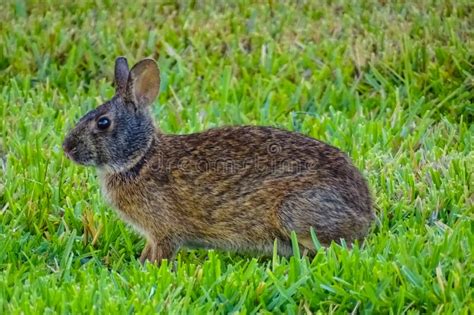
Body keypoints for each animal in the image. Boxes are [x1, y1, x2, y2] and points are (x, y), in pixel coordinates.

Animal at [63, 57, 374, 264]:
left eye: (103, 123)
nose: (67, 148)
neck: (140, 157)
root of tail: (365, 212)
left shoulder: (163, 231)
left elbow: (160, 253)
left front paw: (143, 269)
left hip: (295, 213)